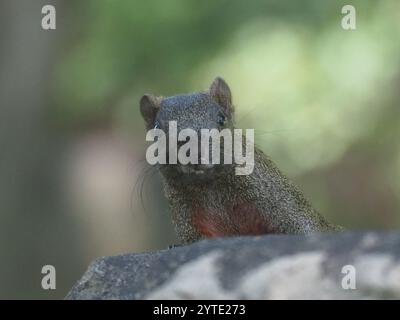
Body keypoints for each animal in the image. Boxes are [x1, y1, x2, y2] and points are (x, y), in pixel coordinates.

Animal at [140, 76, 340, 244]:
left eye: (221, 119)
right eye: (156, 128)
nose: (193, 149)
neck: (209, 186)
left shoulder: (280, 202)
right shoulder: (189, 219)